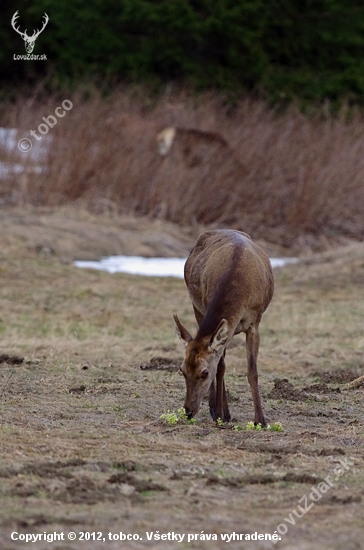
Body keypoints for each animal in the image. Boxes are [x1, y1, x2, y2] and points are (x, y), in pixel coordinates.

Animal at [173, 231, 272, 430]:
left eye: (204, 373)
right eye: (182, 370)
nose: (188, 411)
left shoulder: (254, 322)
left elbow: (252, 371)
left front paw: (261, 420)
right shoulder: (207, 308)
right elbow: (221, 366)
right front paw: (220, 413)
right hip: (197, 307)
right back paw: (218, 409)